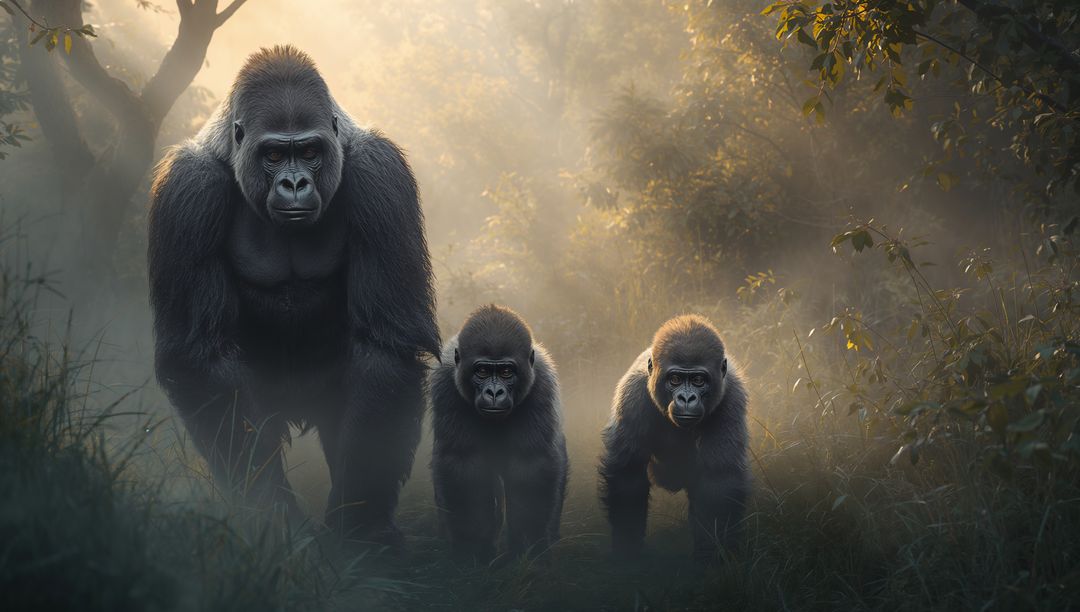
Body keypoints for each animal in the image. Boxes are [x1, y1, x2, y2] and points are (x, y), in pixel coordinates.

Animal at [148, 45, 438, 545]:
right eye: (273, 154)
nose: (295, 183)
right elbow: (201, 358)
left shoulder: (381, 174)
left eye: (308, 152)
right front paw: (273, 518)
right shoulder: (188, 192)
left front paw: (357, 526)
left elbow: (386, 346)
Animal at [428, 305, 568, 562]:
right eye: (482, 371)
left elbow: (530, 465)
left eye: (505, 372)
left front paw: (527, 549)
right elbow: (464, 464)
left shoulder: (542, 383)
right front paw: (472, 548)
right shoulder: (445, 384)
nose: (494, 392)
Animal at [598, 315, 749, 561]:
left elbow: (720, 482)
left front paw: (712, 555)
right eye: (676, 379)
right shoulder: (632, 396)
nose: (686, 398)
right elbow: (628, 475)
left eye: (698, 380)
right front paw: (627, 550)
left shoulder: (731, 398)